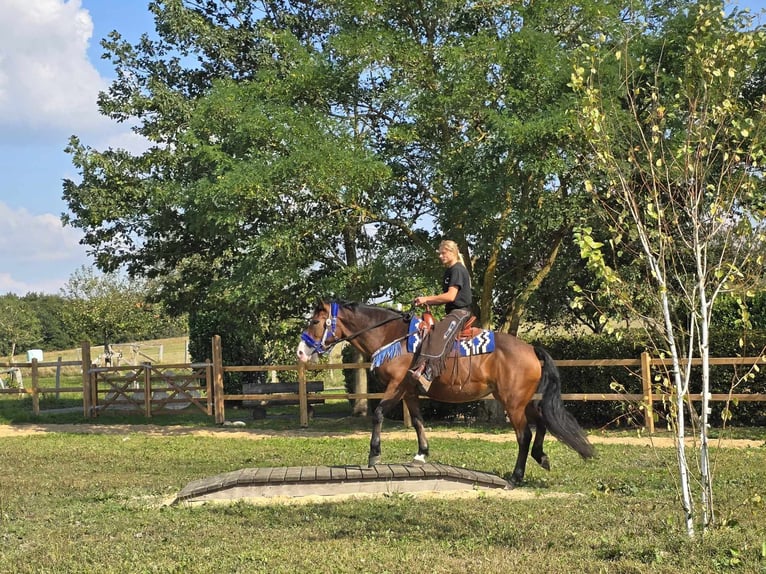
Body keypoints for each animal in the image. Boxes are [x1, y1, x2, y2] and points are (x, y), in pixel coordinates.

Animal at [296, 302, 596, 486]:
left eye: (315, 321)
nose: (300, 351)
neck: (393, 337)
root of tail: (531, 348)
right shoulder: (409, 391)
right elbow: (418, 421)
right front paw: (422, 453)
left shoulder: (395, 386)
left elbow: (378, 413)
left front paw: (374, 453)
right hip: (522, 400)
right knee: (542, 422)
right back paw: (541, 457)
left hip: (513, 402)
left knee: (524, 435)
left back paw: (516, 476)